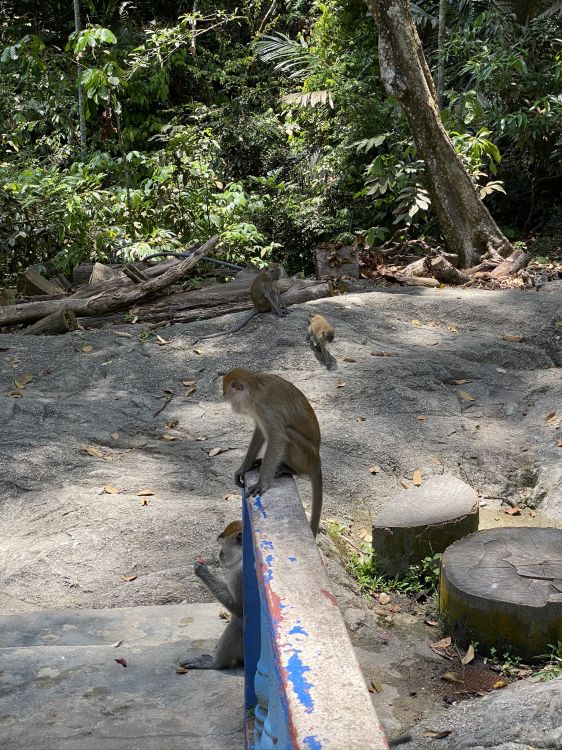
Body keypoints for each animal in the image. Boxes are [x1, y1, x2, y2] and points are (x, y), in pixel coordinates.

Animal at [179, 520, 243, 670]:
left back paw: (216, 663)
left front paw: (203, 571)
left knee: (239, 621)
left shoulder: (239, 572)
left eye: (222, 545)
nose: (220, 554)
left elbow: (238, 607)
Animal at [223, 367, 323, 537]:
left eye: (229, 397)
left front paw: (262, 484)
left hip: (305, 455)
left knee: (287, 432)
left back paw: (289, 469)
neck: (253, 388)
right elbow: (260, 432)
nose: (232, 406)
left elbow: (278, 437)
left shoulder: (261, 404)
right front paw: (244, 468)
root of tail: (317, 458)